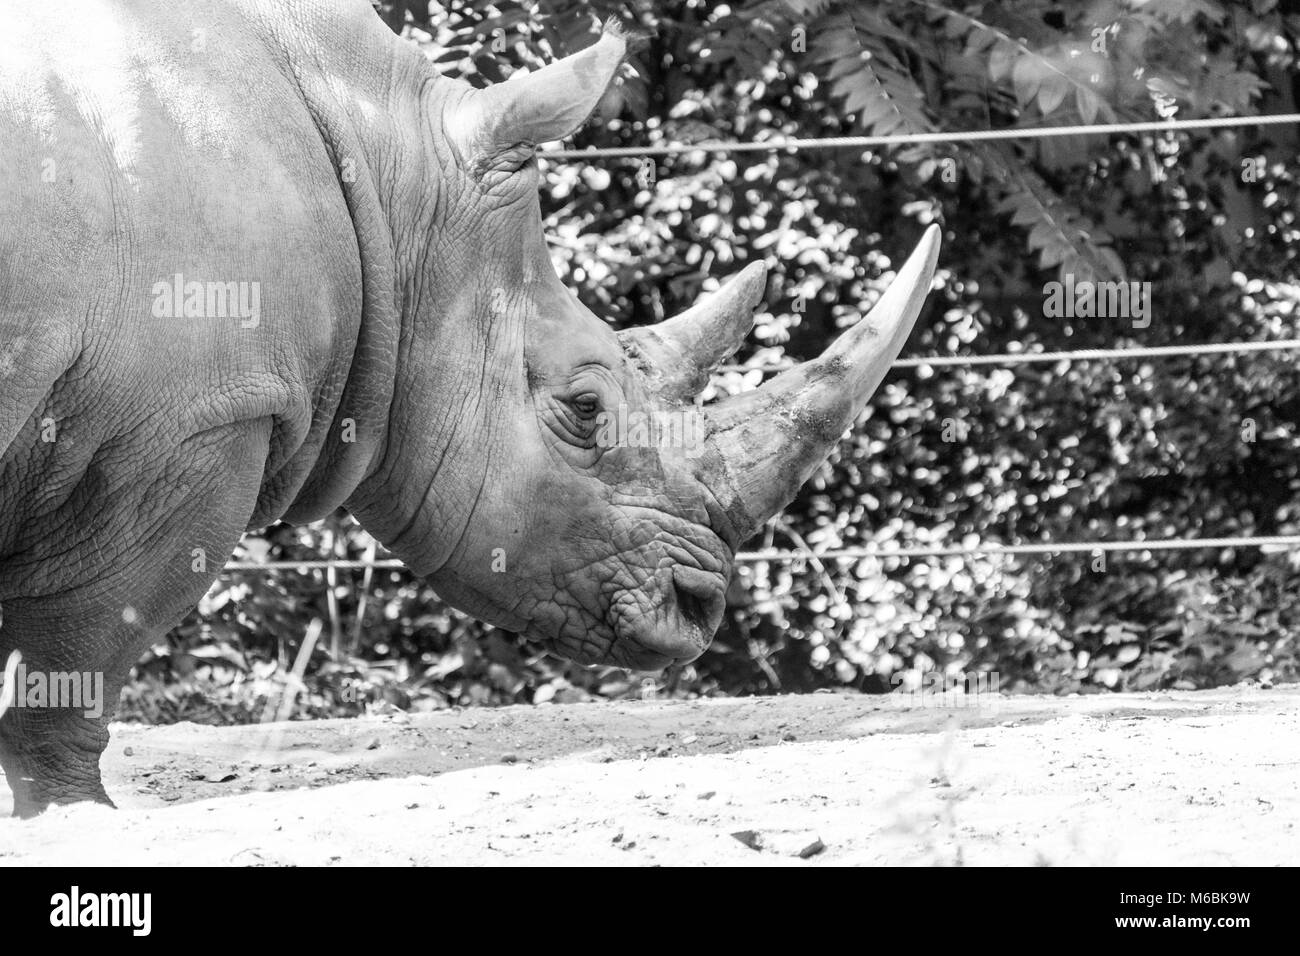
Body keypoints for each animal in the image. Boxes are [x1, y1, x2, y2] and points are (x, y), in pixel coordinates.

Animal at [0, 0, 940, 816]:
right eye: (586, 408)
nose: (698, 607)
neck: (391, 177)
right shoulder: (197, 422)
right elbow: (82, 640)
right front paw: (74, 813)